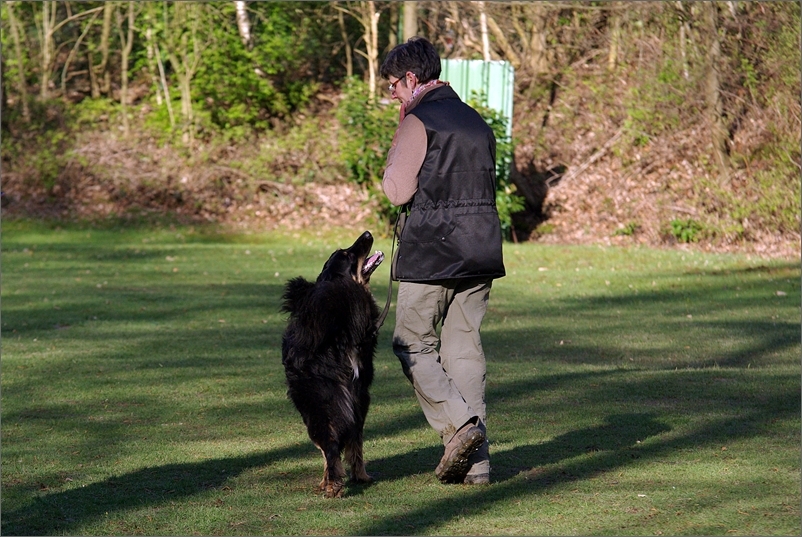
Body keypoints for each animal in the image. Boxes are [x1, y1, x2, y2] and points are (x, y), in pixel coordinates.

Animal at [280, 228, 382, 496]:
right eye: (347, 254)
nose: (366, 233)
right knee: (335, 443)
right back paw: (335, 482)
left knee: (333, 444)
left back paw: (335, 481)